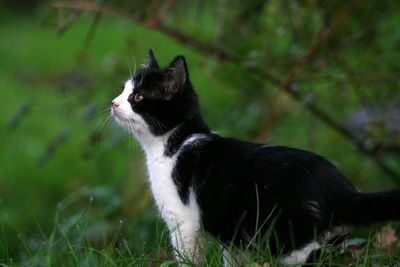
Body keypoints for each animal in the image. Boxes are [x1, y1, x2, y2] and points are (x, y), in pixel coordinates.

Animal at [111, 49, 400, 266]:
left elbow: (188, 257)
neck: (174, 144)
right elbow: (232, 259)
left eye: (137, 97)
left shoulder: (185, 223)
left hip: (287, 234)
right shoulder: (230, 231)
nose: (113, 103)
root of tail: (338, 188)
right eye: (123, 90)